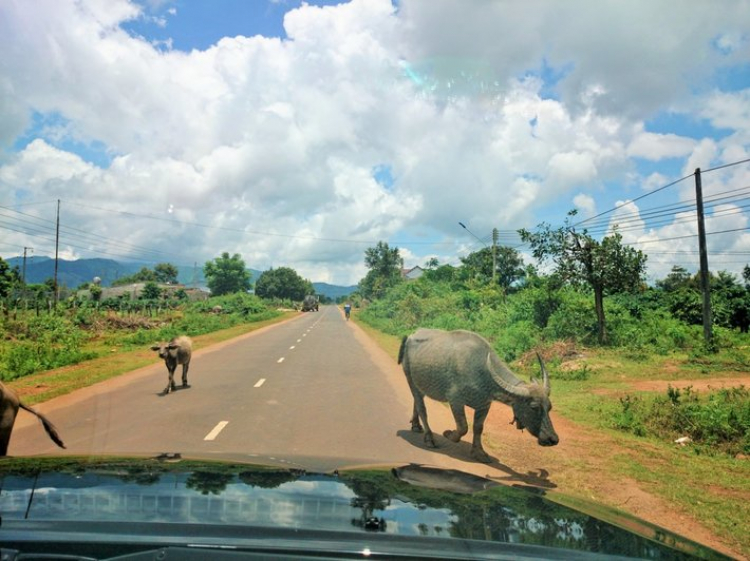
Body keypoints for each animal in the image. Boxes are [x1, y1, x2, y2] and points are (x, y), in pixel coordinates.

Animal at [400, 326, 560, 462]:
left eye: (549, 407)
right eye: (533, 407)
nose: (552, 439)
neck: (482, 370)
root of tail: (411, 335)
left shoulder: (484, 405)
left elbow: (478, 428)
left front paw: (479, 452)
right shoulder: (455, 400)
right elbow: (463, 427)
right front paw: (449, 434)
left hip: (421, 384)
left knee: (417, 401)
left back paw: (416, 425)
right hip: (409, 378)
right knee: (422, 407)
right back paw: (429, 438)